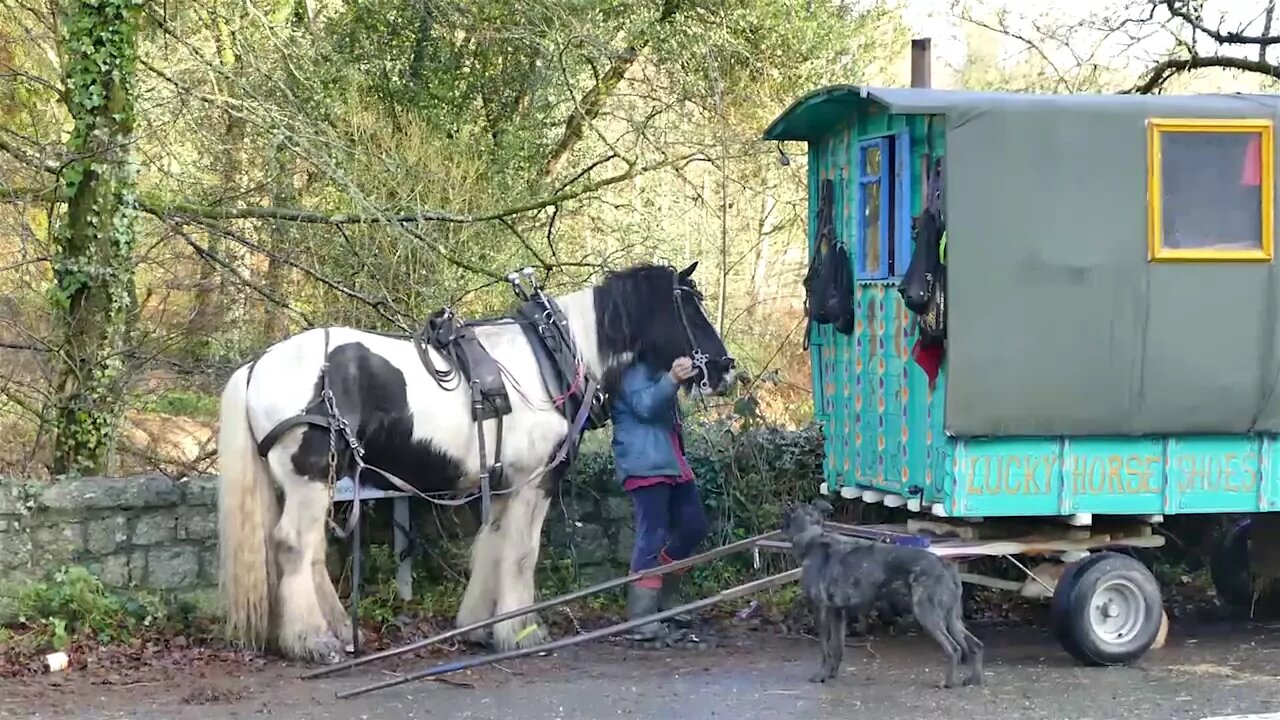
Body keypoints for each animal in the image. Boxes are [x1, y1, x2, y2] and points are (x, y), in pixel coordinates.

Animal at [216, 260, 737, 661]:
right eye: (689, 307)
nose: (726, 369)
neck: (552, 357)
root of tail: (257, 366)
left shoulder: (505, 483)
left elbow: (494, 545)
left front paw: (480, 627)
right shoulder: (534, 481)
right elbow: (522, 554)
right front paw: (523, 632)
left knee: (311, 552)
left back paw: (339, 630)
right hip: (310, 476)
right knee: (293, 546)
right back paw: (311, 641)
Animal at [778, 499, 977, 681]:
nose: (779, 527)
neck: (810, 537)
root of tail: (945, 564)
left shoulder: (820, 610)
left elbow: (825, 649)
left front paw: (821, 675)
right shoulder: (838, 613)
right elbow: (838, 648)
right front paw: (832, 673)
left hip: (928, 615)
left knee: (954, 649)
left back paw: (948, 682)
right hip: (952, 619)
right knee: (974, 645)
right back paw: (974, 679)